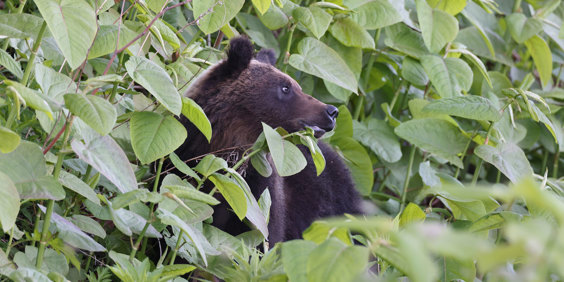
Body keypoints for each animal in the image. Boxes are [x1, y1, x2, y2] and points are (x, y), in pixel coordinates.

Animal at [176, 36, 362, 243]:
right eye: (285, 87)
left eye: (297, 86)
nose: (331, 111)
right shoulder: (184, 162)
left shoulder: (259, 194)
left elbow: (265, 237)